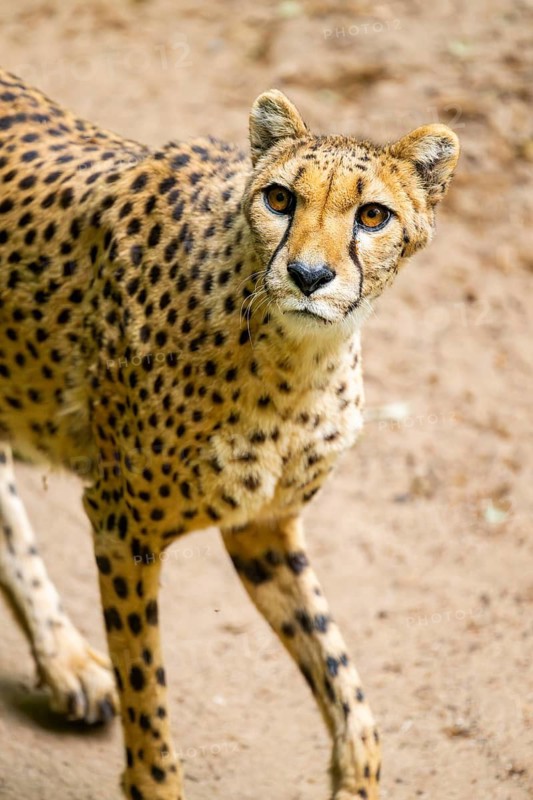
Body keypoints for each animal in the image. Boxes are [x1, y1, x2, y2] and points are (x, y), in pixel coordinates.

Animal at [0, 66, 459, 800]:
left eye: (372, 215)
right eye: (279, 198)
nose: (308, 276)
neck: (296, 361)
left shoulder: (263, 527)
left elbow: (341, 677)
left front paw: (356, 775)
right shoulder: (122, 526)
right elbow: (147, 684)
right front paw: (152, 777)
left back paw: (65, 658)